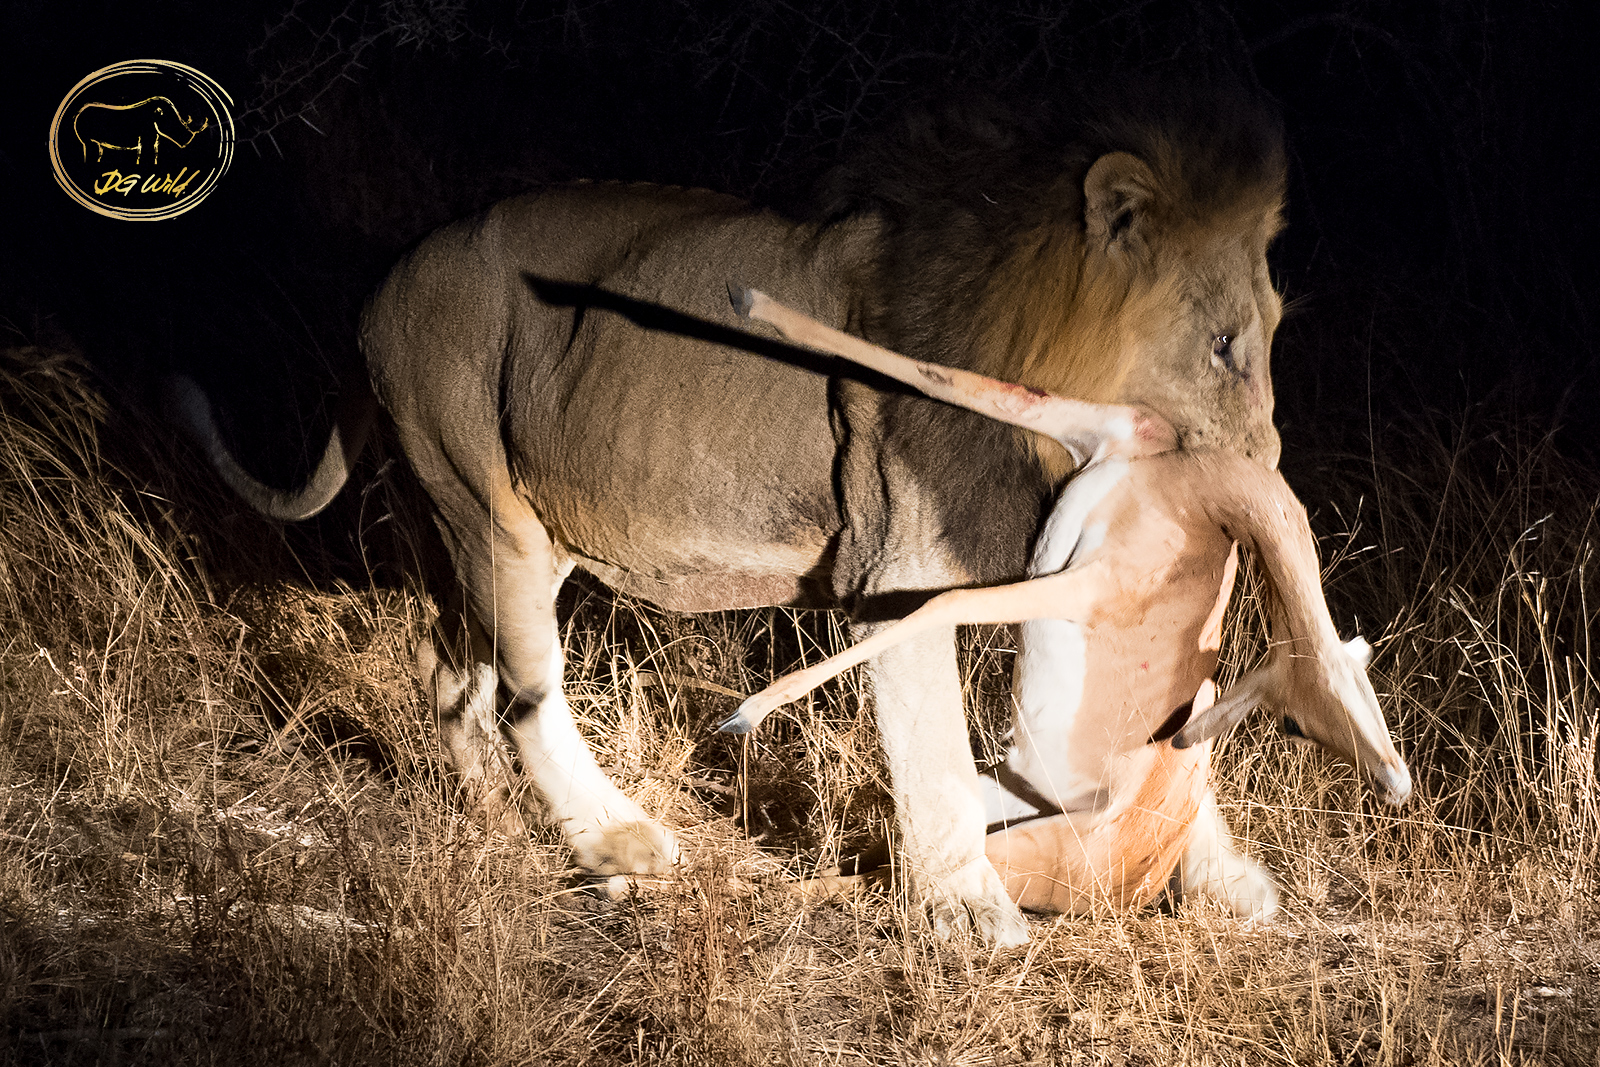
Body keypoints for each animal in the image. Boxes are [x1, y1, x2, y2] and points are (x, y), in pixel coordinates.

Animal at [726, 289, 1414, 921]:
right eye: (1296, 721)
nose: (1396, 784)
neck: (1192, 504)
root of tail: (1143, 880)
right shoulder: (1089, 429)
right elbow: (951, 377)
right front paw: (751, 303)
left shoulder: (1084, 585)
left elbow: (941, 603)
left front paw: (745, 713)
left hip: (1010, 847)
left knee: (891, 878)